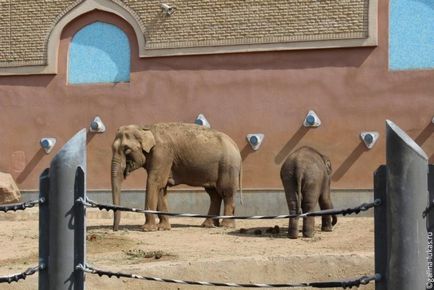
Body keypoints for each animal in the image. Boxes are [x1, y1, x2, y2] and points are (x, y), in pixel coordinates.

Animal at [111, 122, 241, 231]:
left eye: (126, 150)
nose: (115, 229)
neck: (146, 128)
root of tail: (235, 145)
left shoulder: (162, 154)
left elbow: (154, 182)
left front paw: (147, 229)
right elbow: (161, 187)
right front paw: (163, 228)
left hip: (228, 167)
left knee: (226, 192)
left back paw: (226, 226)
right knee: (214, 194)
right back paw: (208, 225)